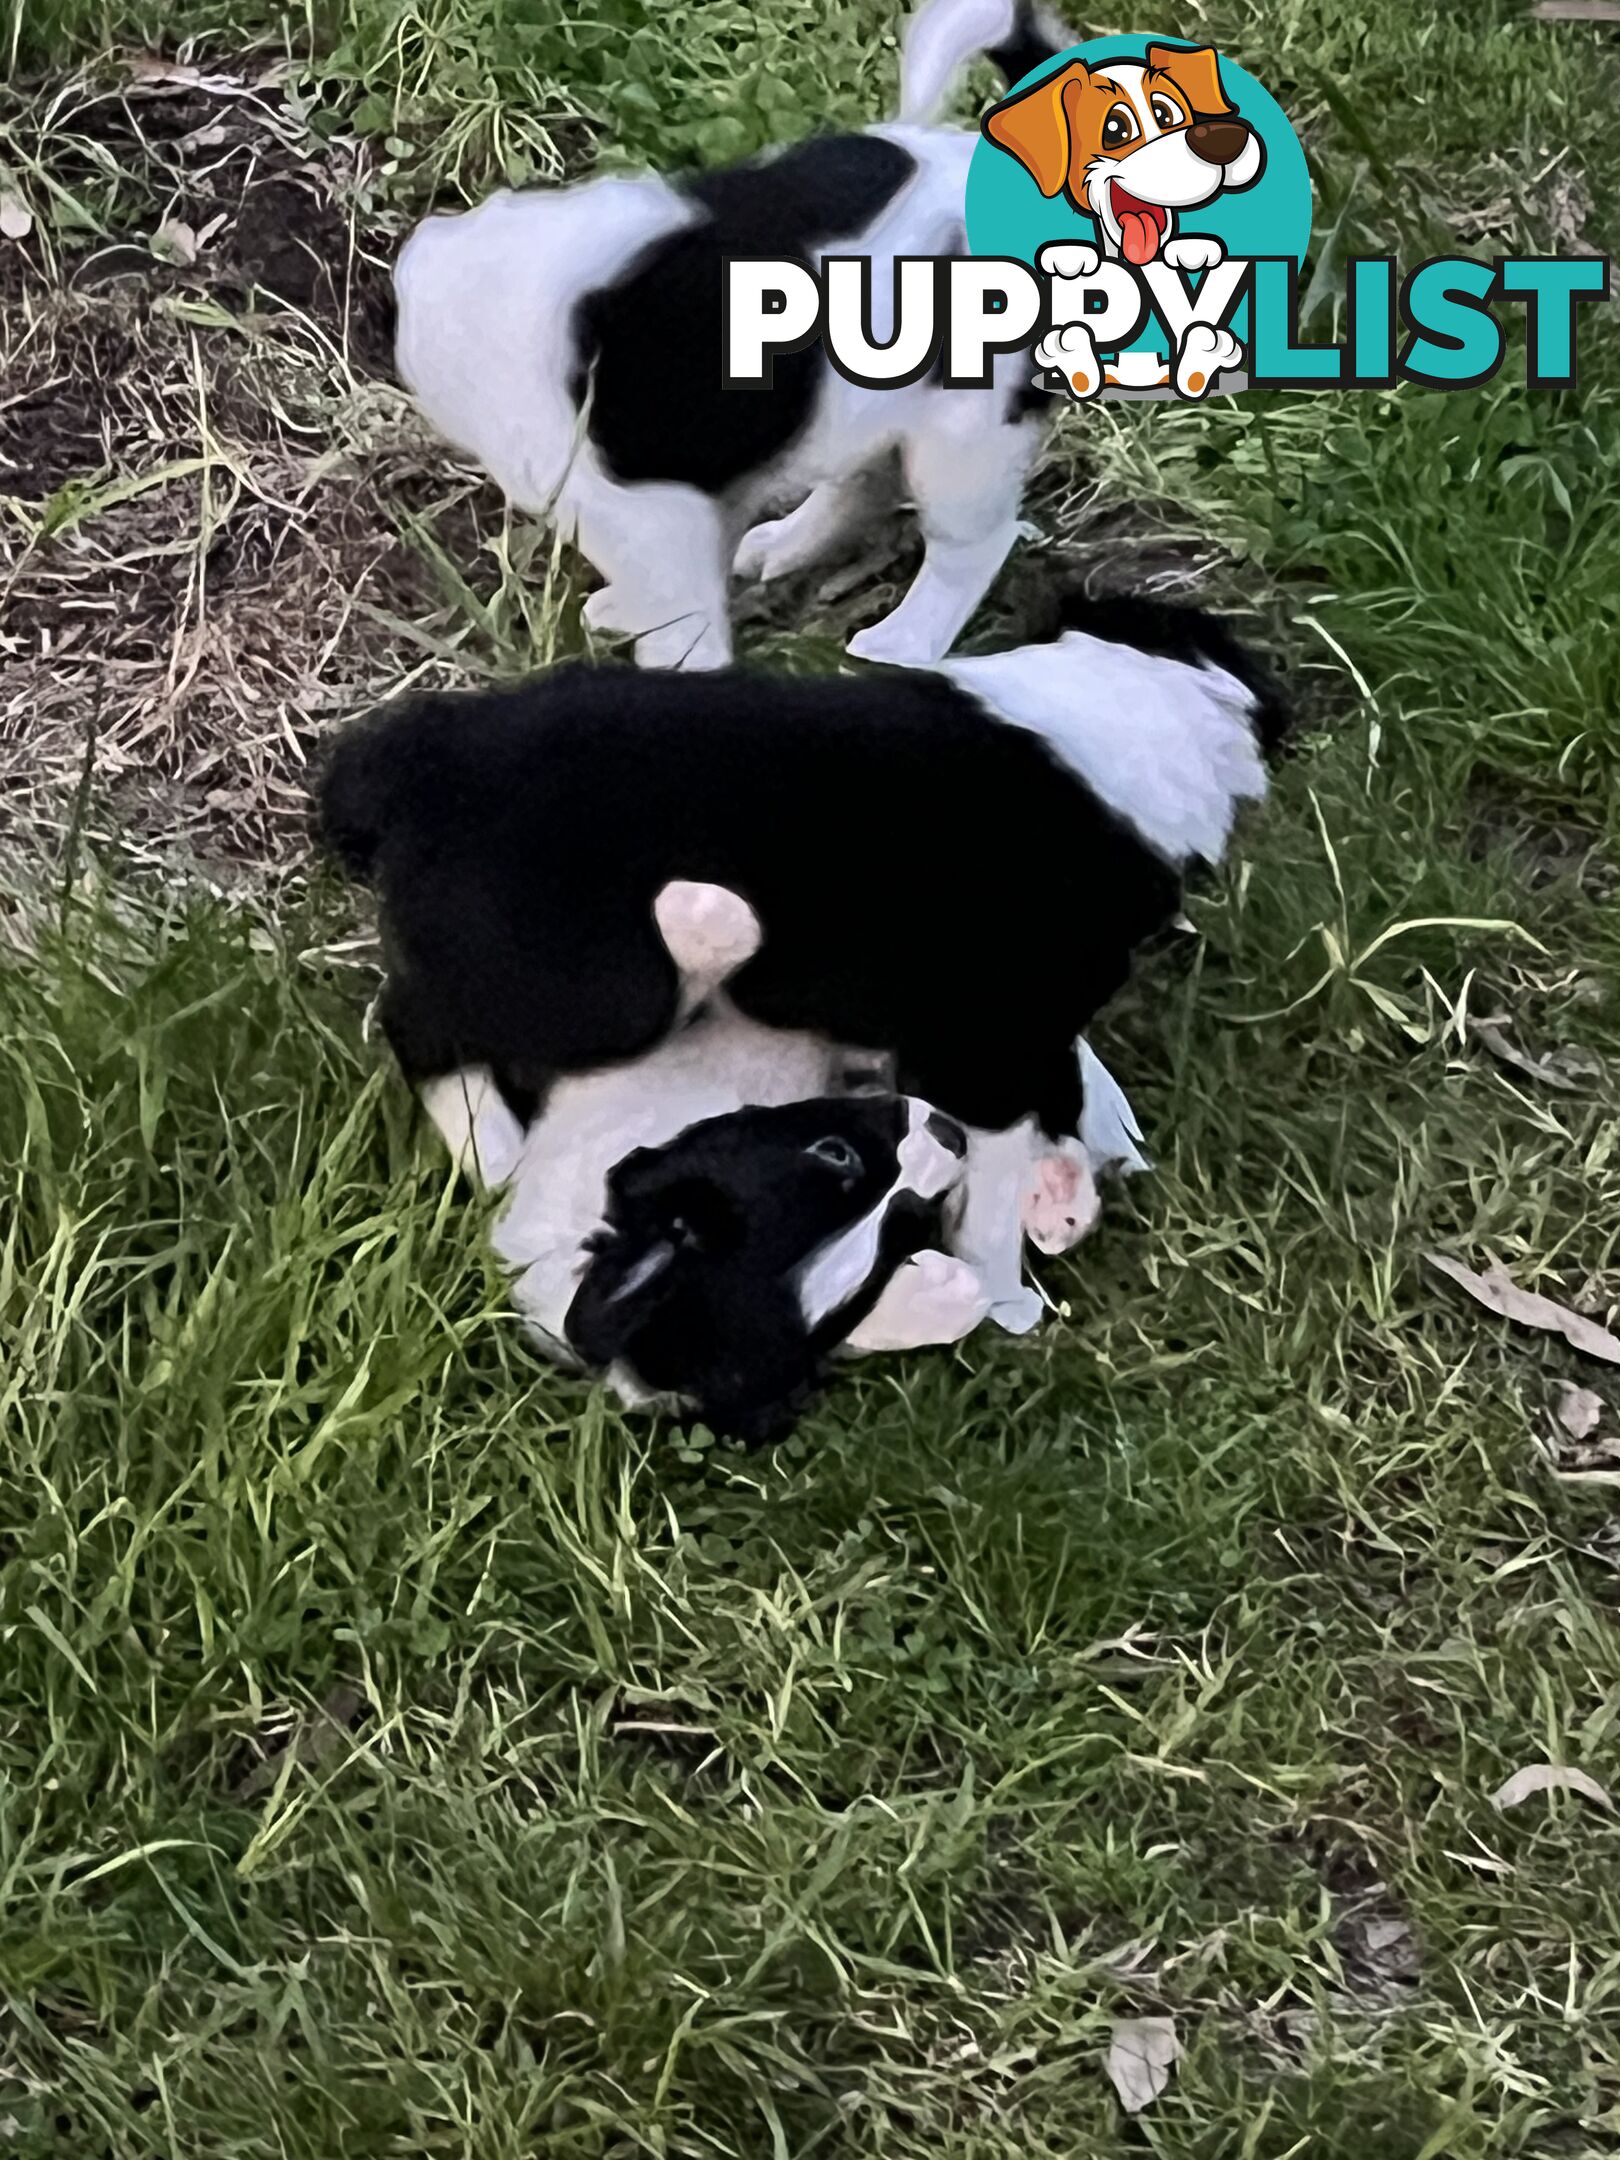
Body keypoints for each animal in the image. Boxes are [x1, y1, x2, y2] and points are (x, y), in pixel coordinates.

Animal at [317, 583, 1296, 1347]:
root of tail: (420, 759)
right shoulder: (987, 1047)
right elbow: (991, 1180)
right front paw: (1006, 1294)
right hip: (596, 990)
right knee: (418, 1026)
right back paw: (497, 1154)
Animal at [395, 0, 1080, 669]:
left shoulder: (649, 510)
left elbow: (683, 615)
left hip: (964, 440)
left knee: (972, 545)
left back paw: (902, 642)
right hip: (868, 412)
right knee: (861, 482)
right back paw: (785, 544)